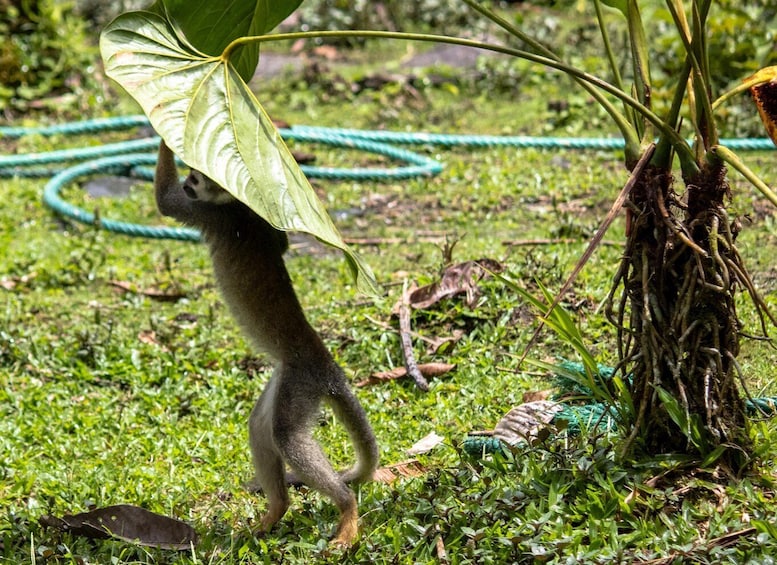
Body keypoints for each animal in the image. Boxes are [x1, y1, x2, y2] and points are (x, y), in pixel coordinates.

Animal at [154, 140, 379, 547]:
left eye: (196, 179)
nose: (190, 184)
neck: (234, 203)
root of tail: (328, 365)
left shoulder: (211, 213)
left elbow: (165, 202)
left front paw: (164, 137)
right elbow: (282, 242)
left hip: (302, 383)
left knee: (287, 436)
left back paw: (347, 507)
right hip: (288, 379)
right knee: (261, 428)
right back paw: (277, 509)